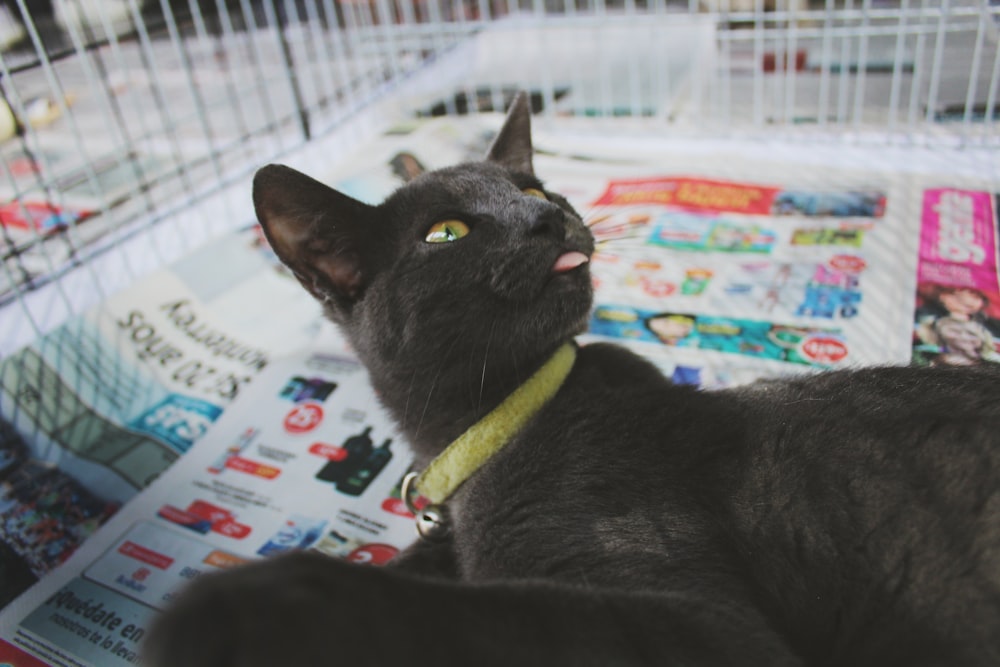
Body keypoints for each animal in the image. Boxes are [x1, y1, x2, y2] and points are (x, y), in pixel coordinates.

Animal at [146, 94, 1000, 667]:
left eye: (532, 190)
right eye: (445, 232)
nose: (547, 218)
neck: (498, 424)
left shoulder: (706, 625)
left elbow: (474, 612)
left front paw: (227, 611)